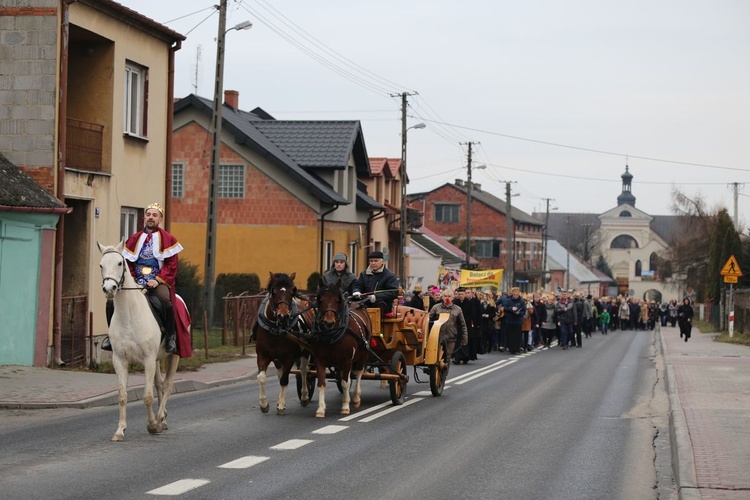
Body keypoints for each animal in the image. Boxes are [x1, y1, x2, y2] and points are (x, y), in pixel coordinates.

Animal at [97, 242, 180, 442]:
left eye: (120, 263)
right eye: (101, 265)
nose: (109, 289)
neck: (129, 315)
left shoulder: (148, 360)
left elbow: (147, 396)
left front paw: (152, 425)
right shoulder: (120, 360)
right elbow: (122, 395)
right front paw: (120, 430)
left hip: (173, 356)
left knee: (168, 386)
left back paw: (160, 418)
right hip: (158, 360)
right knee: (160, 385)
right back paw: (163, 419)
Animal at [254, 274, 310, 414]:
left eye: (291, 292)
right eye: (274, 292)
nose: (283, 316)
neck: (276, 330)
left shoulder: (289, 357)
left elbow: (285, 379)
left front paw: (281, 405)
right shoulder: (262, 355)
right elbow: (261, 377)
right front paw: (264, 404)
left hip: (305, 352)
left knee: (304, 371)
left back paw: (304, 396)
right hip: (277, 359)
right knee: (280, 373)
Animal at [310, 282, 372, 418]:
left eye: (337, 300)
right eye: (320, 300)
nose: (329, 322)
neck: (331, 335)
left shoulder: (347, 360)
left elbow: (345, 383)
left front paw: (345, 407)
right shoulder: (319, 359)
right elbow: (321, 383)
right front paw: (320, 409)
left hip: (363, 354)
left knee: (358, 373)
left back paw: (355, 398)